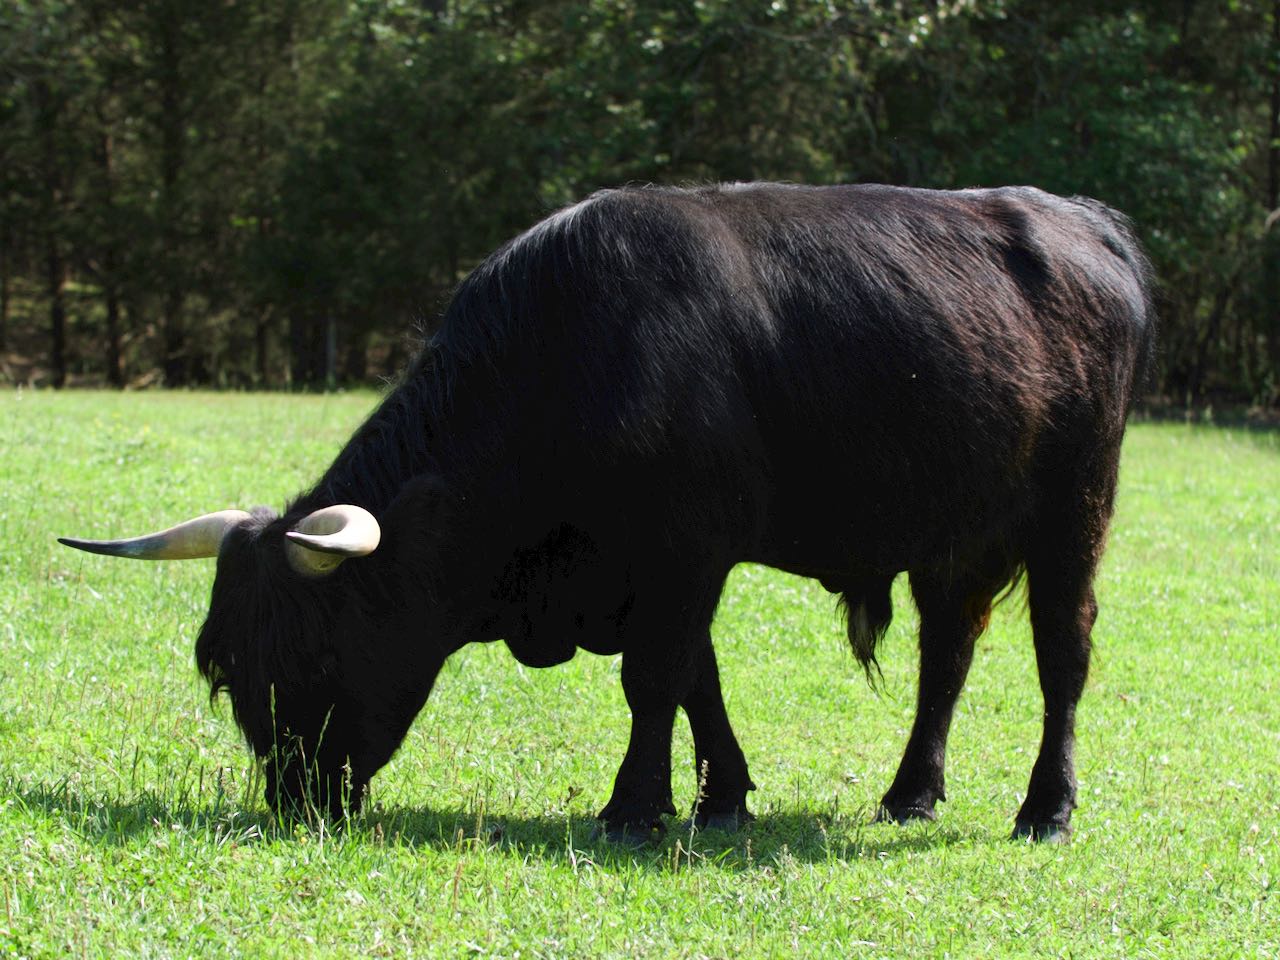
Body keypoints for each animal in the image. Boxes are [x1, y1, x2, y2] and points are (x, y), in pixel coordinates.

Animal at [62, 181, 1162, 839]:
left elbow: (654, 678)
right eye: (226, 669)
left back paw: (1045, 808)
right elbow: (695, 681)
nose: (297, 801)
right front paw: (721, 798)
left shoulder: (686, 547)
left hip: (1072, 513)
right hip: (949, 536)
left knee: (1062, 658)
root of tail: (1075, 217)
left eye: (317, 650)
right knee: (946, 658)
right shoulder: (659, 565)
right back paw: (909, 792)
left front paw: (635, 807)